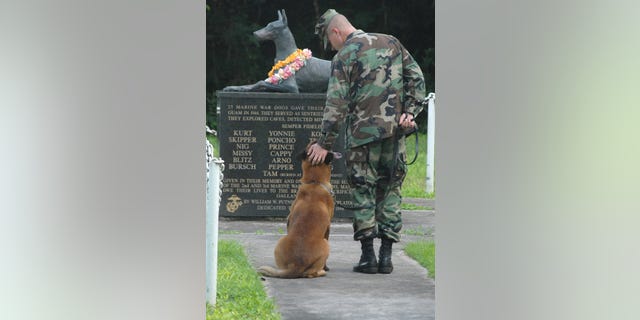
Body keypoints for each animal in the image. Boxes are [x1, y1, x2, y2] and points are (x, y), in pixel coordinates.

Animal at [256, 142, 336, 278]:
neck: (315, 182)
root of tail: (297, 265)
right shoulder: (328, 228)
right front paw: (326, 267)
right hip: (326, 244)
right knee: (311, 273)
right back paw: (322, 271)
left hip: (280, 241)